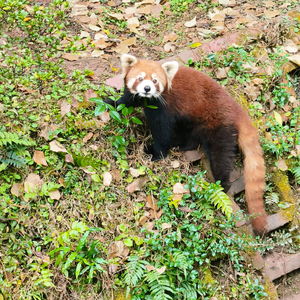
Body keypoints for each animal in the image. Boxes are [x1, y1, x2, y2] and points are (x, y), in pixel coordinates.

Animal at [105, 54, 268, 237]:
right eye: (140, 78)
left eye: (155, 81)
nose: (147, 88)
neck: (148, 99)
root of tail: (237, 110)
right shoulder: (137, 97)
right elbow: (126, 101)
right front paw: (111, 102)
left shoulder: (164, 108)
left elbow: (162, 132)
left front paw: (157, 153)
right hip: (194, 121)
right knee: (192, 138)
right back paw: (181, 145)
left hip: (219, 127)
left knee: (221, 155)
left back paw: (222, 183)